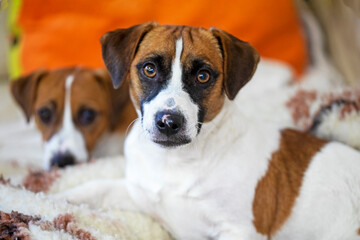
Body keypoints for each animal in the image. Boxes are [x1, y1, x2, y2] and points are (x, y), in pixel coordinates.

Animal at [60, 23, 360, 240]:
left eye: (203, 76)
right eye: (149, 69)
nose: (168, 122)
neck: (176, 161)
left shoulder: (239, 231)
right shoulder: (139, 194)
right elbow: (98, 188)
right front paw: (61, 197)